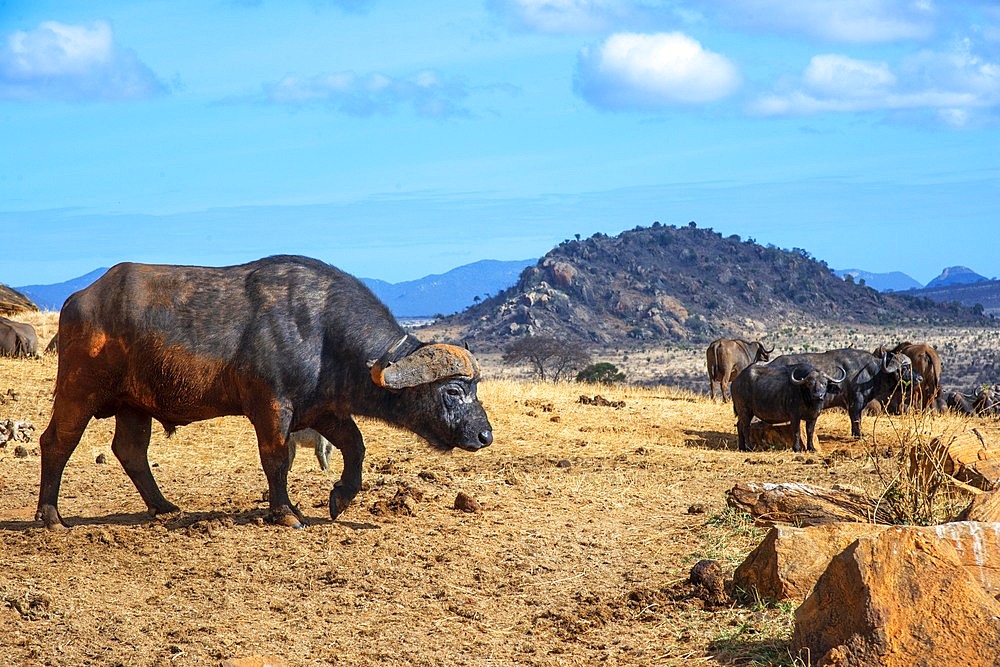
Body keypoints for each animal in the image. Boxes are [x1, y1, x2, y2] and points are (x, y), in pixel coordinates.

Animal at [33, 258, 494, 532]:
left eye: (474, 389)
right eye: (454, 390)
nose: (484, 435)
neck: (323, 333)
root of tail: (78, 300)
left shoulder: (322, 410)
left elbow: (355, 446)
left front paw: (340, 498)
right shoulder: (272, 408)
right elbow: (276, 459)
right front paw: (285, 513)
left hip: (134, 405)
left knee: (130, 451)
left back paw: (163, 506)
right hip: (78, 390)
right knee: (57, 441)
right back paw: (52, 517)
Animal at [764, 350, 920, 438]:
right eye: (906, 367)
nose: (920, 378)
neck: (872, 373)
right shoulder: (856, 402)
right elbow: (856, 419)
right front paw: (859, 435)